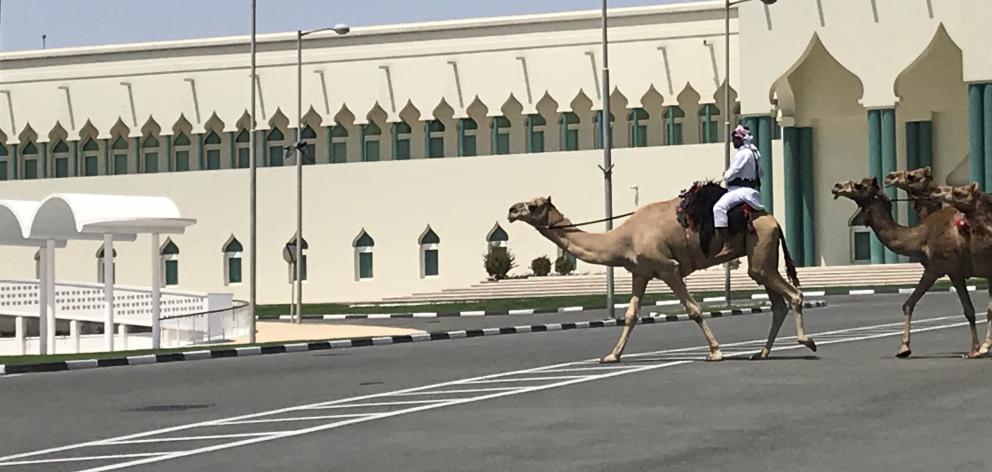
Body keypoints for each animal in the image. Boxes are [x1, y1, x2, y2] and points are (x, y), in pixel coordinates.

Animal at [508, 190, 816, 364]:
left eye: (533, 206)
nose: (511, 210)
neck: (624, 238)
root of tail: (773, 220)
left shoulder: (669, 268)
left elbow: (693, 310)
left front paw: (715, 351)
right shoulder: (640, 273)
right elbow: (631, 315)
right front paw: (611, 356)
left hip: (761, 247)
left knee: (792, 294)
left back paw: (807, 342)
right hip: (761, 256)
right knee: (777, 302)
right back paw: (762, 352)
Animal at [832, 178, 980, 358]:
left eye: (859, 185)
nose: (836, 187)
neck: (922, 239)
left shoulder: (948, 270)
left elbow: (969, 309)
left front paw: (975, 350)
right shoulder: (936, 270)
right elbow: (908, 304)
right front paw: (904, 349)